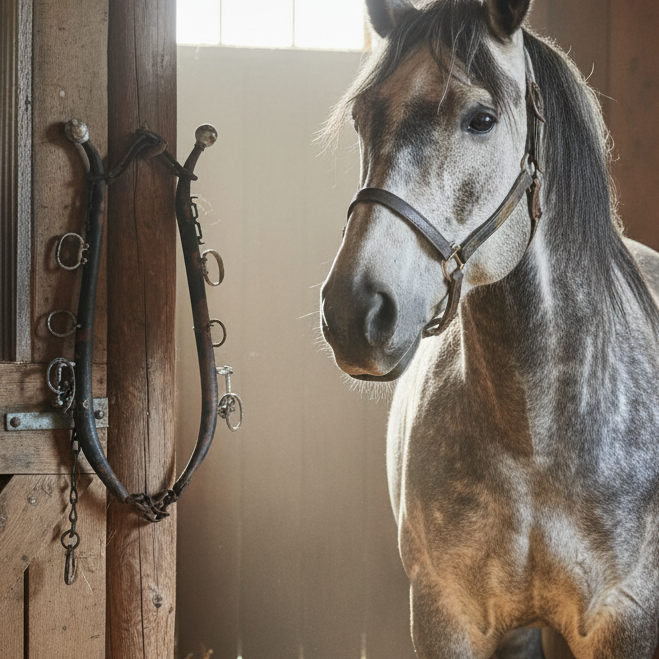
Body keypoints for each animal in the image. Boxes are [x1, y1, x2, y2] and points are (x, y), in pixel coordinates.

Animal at [319, 0, 659, 657]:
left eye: (481, 119)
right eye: (362, 118)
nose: (353, 311)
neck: (535, 438)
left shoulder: (626, 620)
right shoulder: (448, 616)